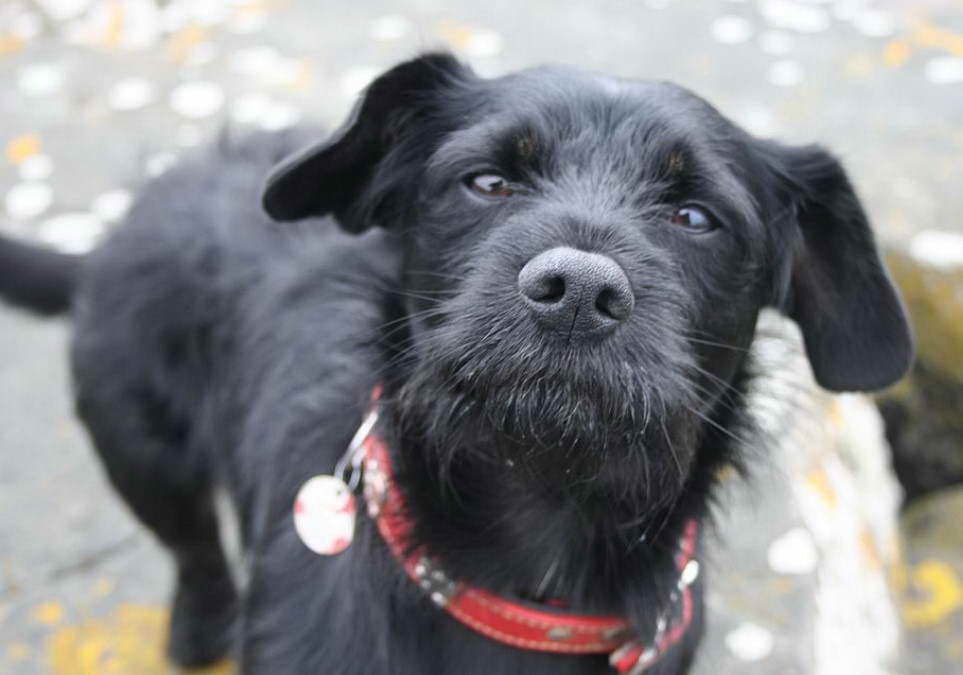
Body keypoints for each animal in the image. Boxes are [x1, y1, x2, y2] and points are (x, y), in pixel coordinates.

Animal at [0, 54, 912, 675]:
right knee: (189, 542)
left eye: (695, 216)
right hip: (139, 447)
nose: (576, 290)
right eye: (487, 181)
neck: (536, 563)